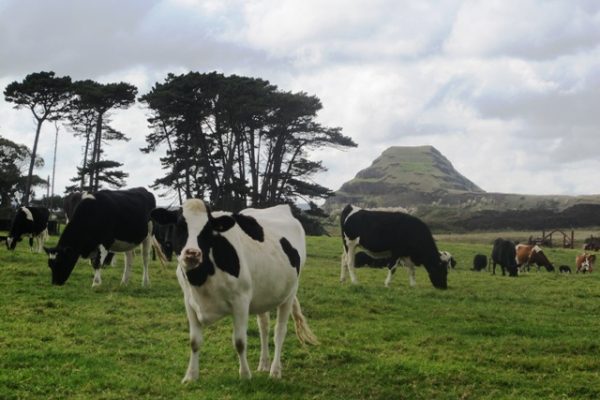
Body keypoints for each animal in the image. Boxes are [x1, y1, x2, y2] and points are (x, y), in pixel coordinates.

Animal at [150, 200, 318, 382]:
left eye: (207, 229)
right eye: (180, 225)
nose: (192, 253)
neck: (201, 279)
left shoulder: (241, 301)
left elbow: (239, 341)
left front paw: (244, 375)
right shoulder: (189, 302)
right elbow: (194, 341)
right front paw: (190, 376)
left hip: (289, 294)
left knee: (279, 332)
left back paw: (275, 371)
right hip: (263, 295)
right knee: (264, 327)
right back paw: (264, 364)